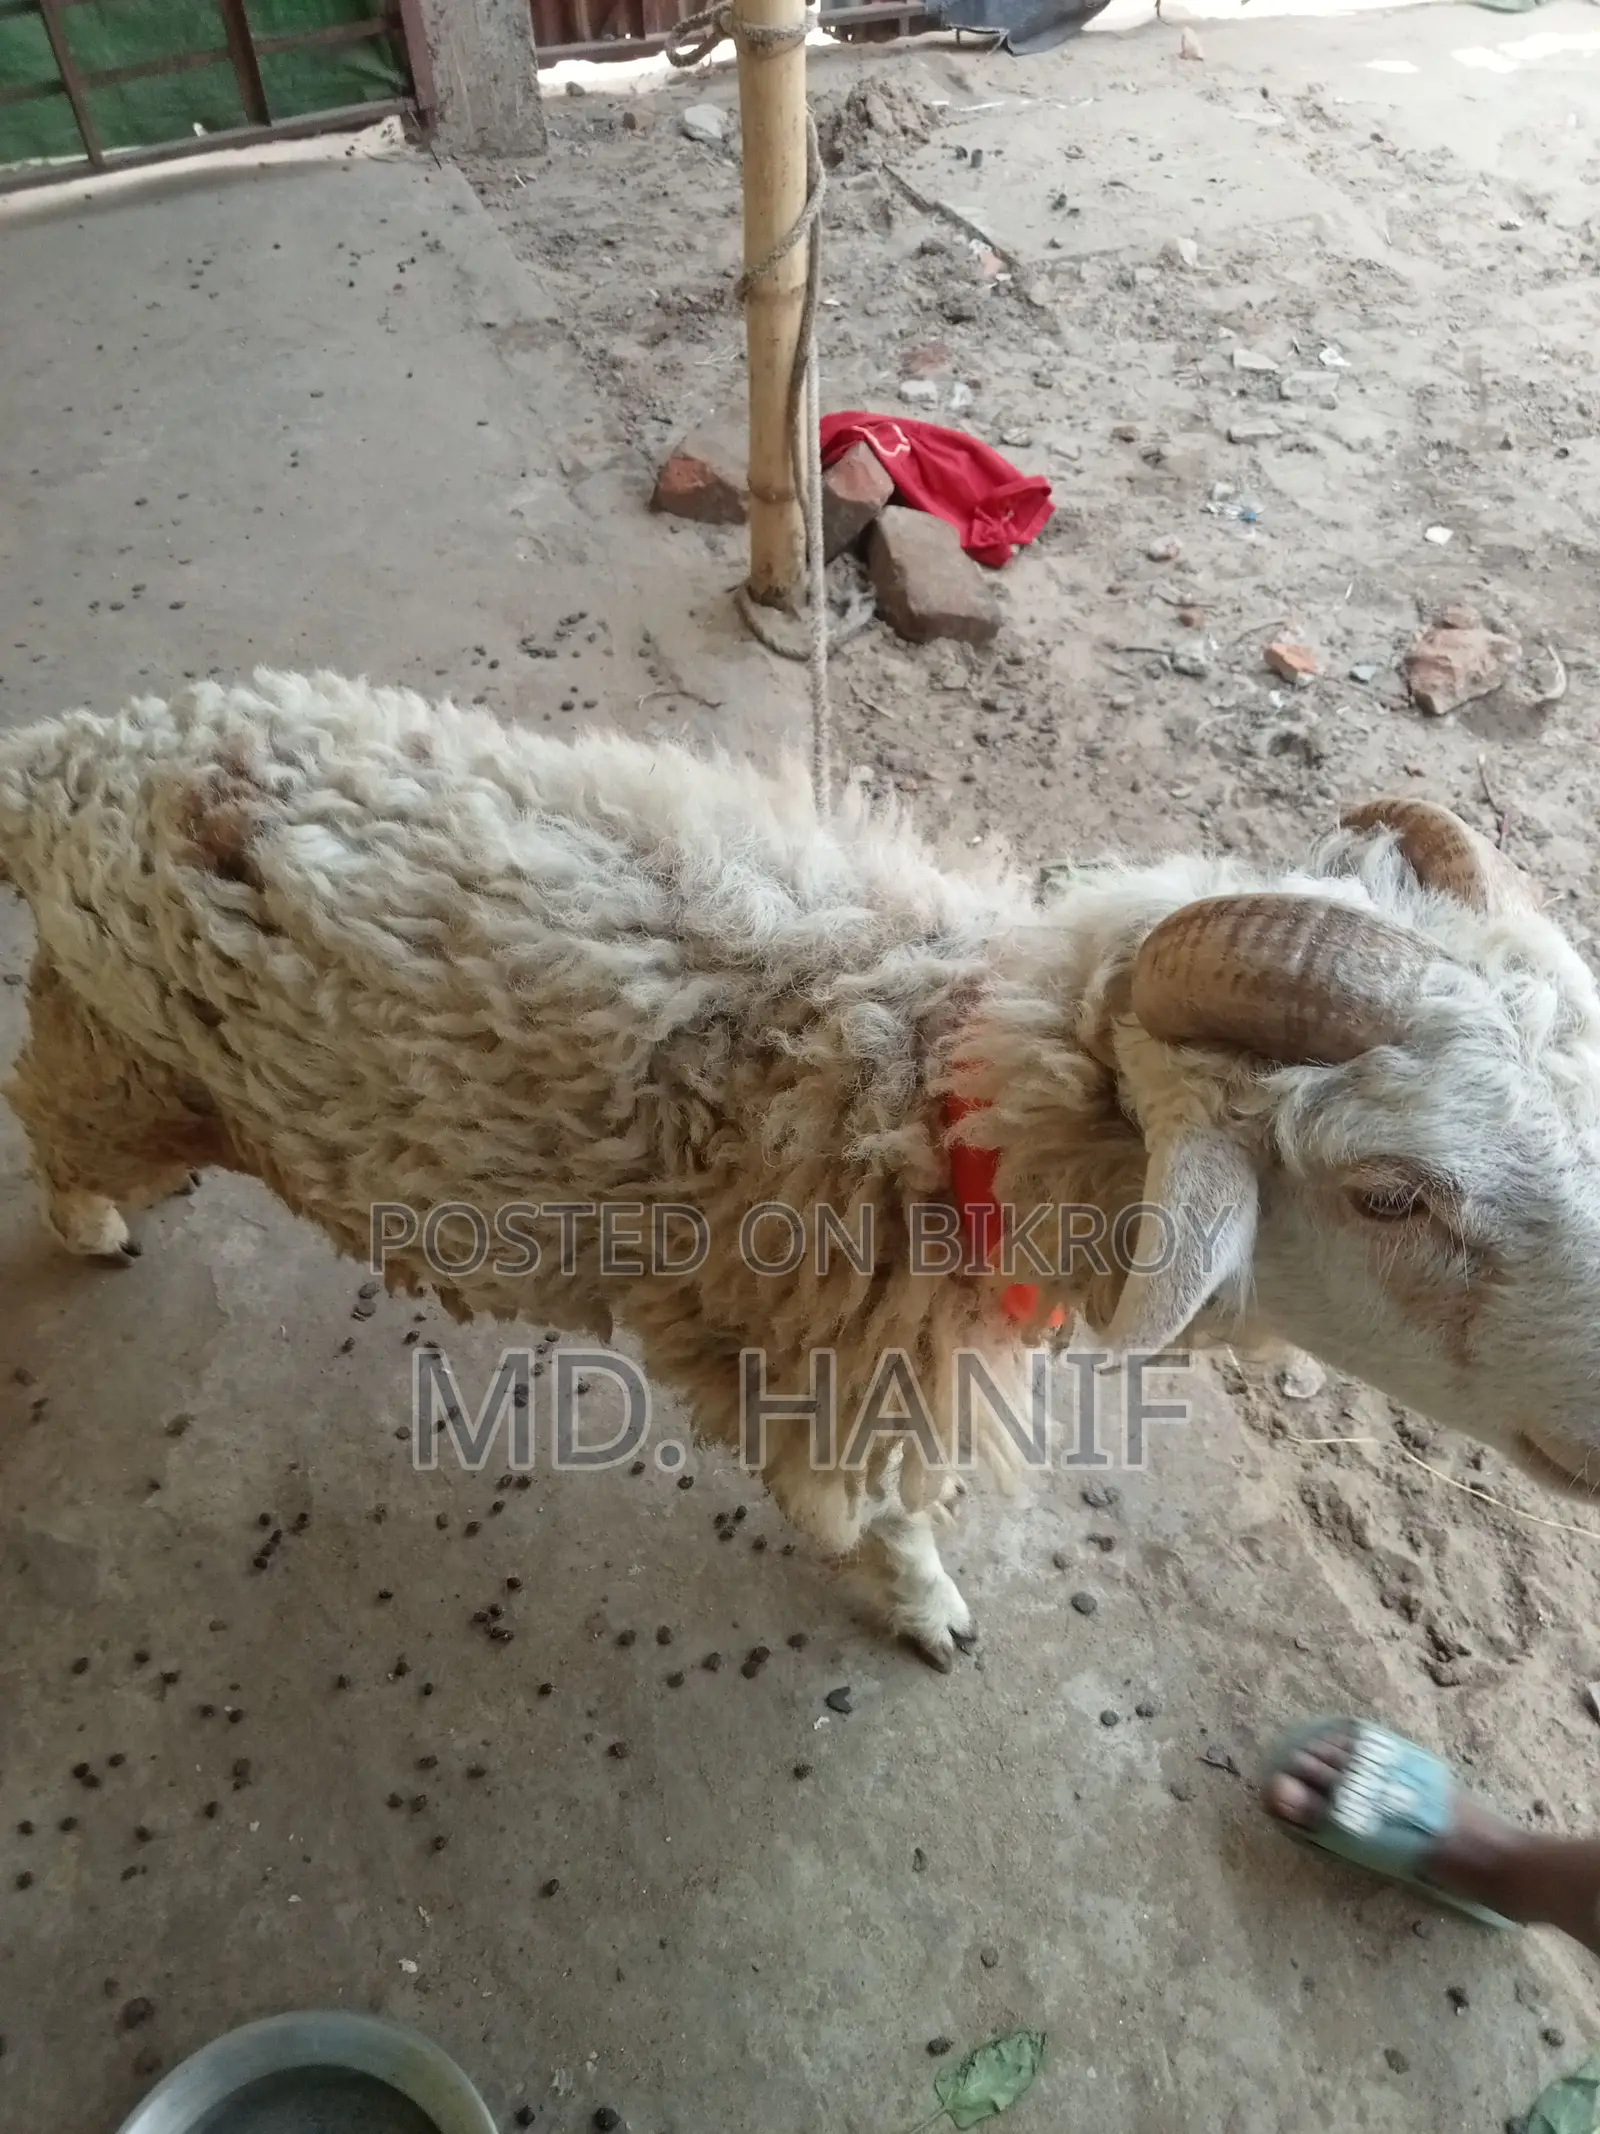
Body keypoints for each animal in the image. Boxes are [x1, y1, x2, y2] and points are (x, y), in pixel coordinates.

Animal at [3, 669, 1599, 1669]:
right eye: (1389, 1191)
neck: (916, 1086)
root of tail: (70, 756)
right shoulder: (848, 1376)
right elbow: (881, 1512)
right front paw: (928, 1605)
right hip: (131, 1067)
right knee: (46, 1118)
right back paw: (87, 1224)